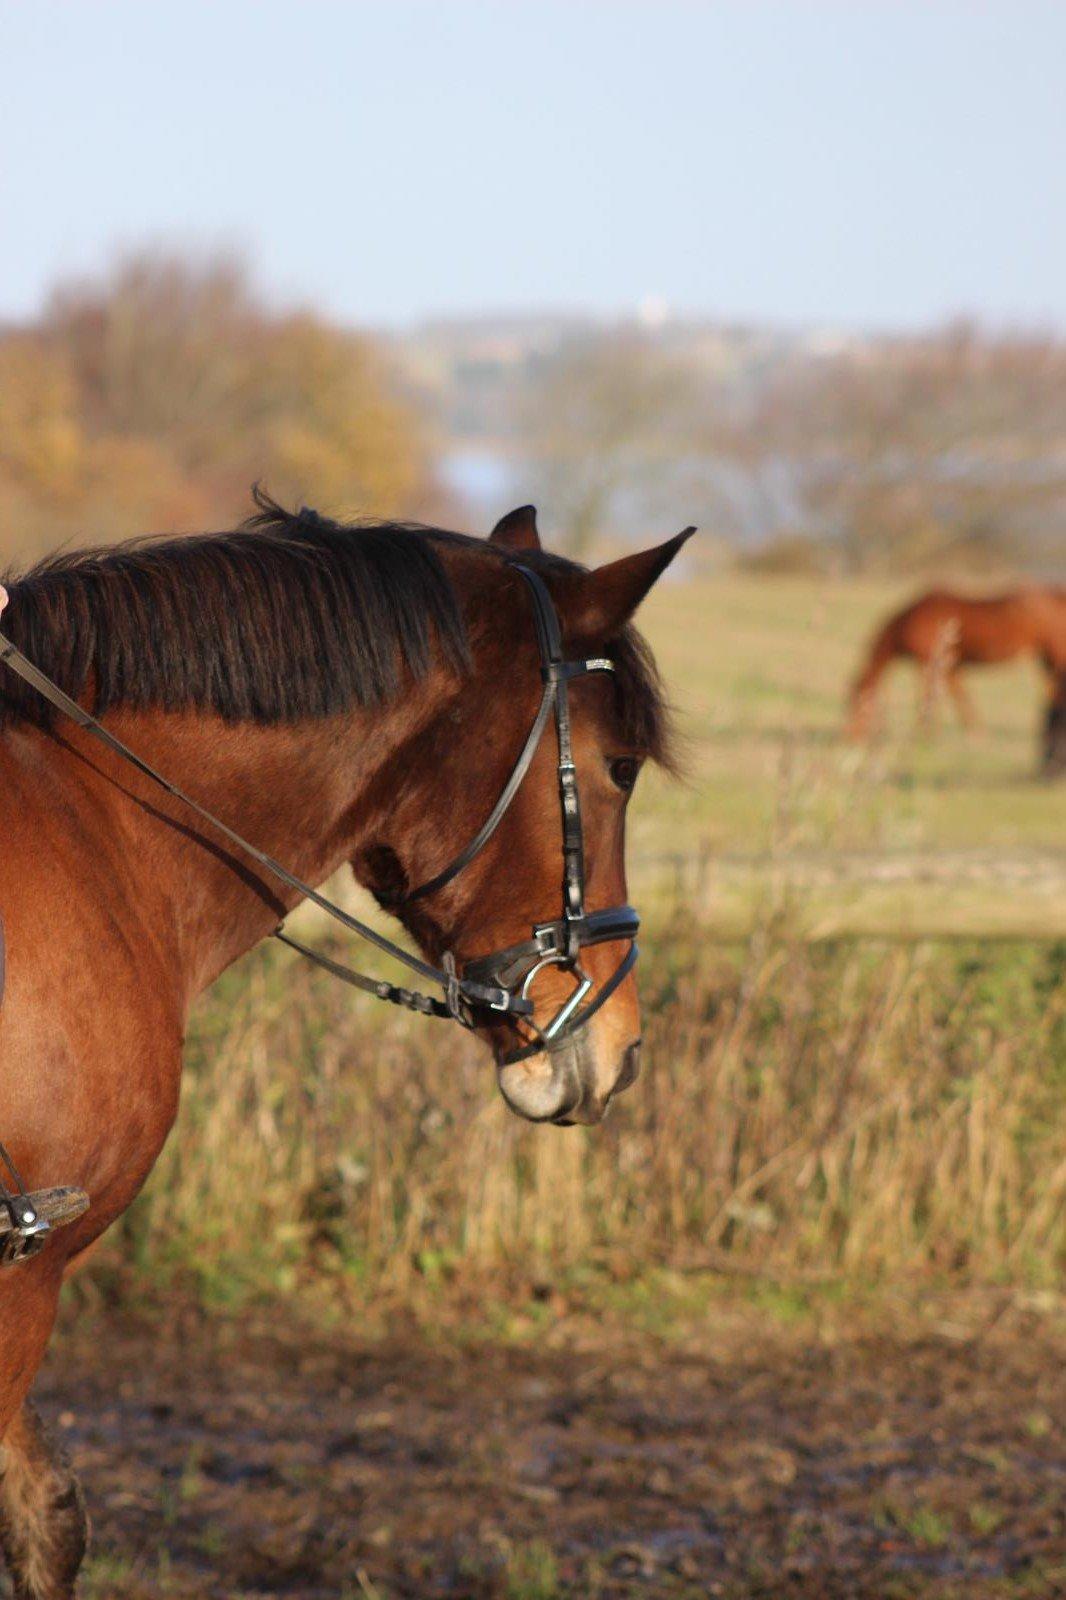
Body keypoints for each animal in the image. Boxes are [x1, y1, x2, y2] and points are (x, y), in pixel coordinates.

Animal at [851, 588, 1066, 736]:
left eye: (854, 704)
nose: (849, 736)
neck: (910, 620)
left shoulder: (929, 663)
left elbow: (928, 697)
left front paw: (925, 732)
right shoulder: (949, 667)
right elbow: (958, 695)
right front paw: (974, 731)